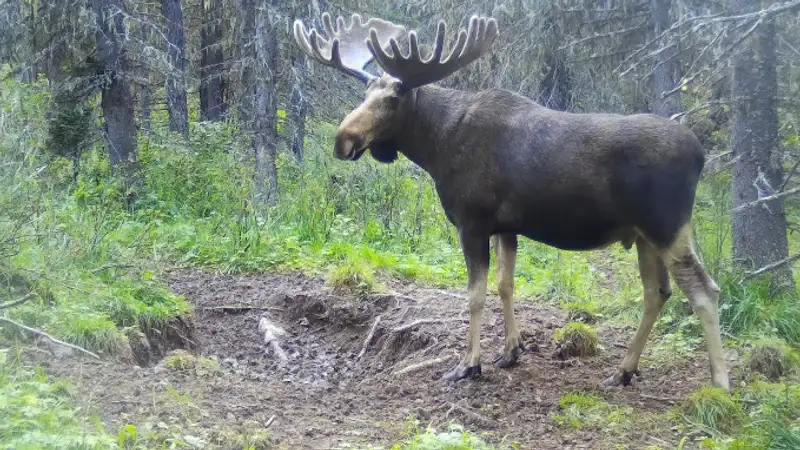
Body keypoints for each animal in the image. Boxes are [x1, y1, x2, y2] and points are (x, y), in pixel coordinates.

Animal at [292, 12, 732, 388]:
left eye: (393, 99)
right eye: (365, 92)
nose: (343, 140)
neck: (436, 148)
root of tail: (700, 155)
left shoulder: (472, 221)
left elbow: (475, 295)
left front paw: (468, 364)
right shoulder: (507, 226)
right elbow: (506, 285)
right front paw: (509, 352)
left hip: (666, 224)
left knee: (704, 290)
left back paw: (719, 382)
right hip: (642, 235)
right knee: (658, 292)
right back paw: (624, 371)